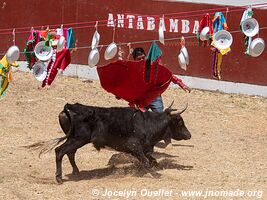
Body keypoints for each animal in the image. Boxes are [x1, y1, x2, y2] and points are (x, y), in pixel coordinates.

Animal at [28, 102, 192, 184]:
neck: (148, 123)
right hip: (78, 139)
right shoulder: (134, 147)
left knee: (70, 153)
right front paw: (155, 175)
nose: (189, 135)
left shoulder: (139, 150)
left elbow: (151, 160)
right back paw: (59, 178)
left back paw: (76, 172)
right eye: (180, 122)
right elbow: (146, 161)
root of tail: (70, 107)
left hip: (75, 139)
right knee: (60, 151)